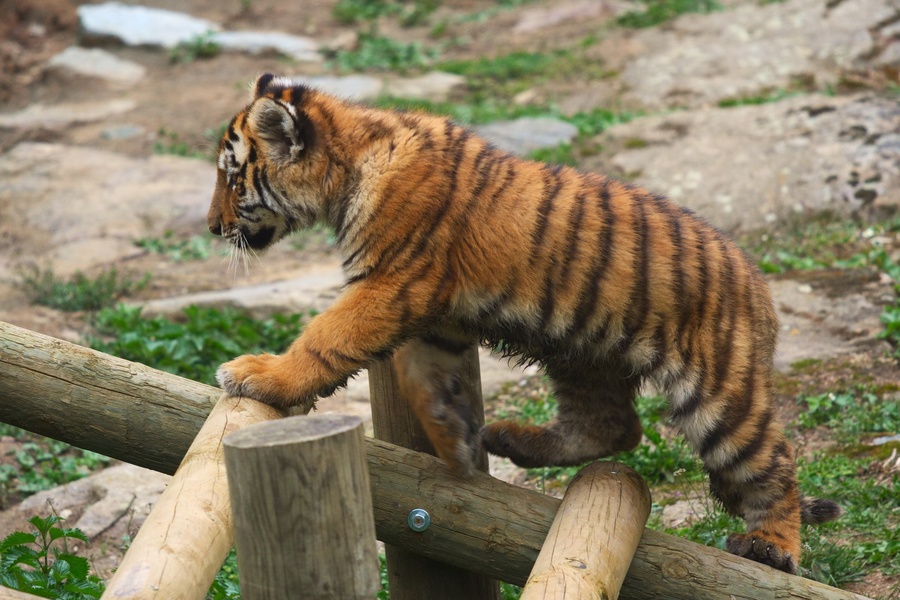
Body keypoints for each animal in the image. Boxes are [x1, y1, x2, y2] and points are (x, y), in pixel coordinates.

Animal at [208, 73, 840, 574]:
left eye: (233, 179)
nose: (212, 227)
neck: (354, 161)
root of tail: (759, 286)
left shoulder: (393, 284)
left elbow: (325, 338)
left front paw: (261, 374)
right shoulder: (432, 311)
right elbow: (420, 374)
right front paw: (453, 437)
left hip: (719, 394)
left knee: (773, 463)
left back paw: (773, 548)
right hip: (584, 356)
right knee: (616, 428)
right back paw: (514, 440)